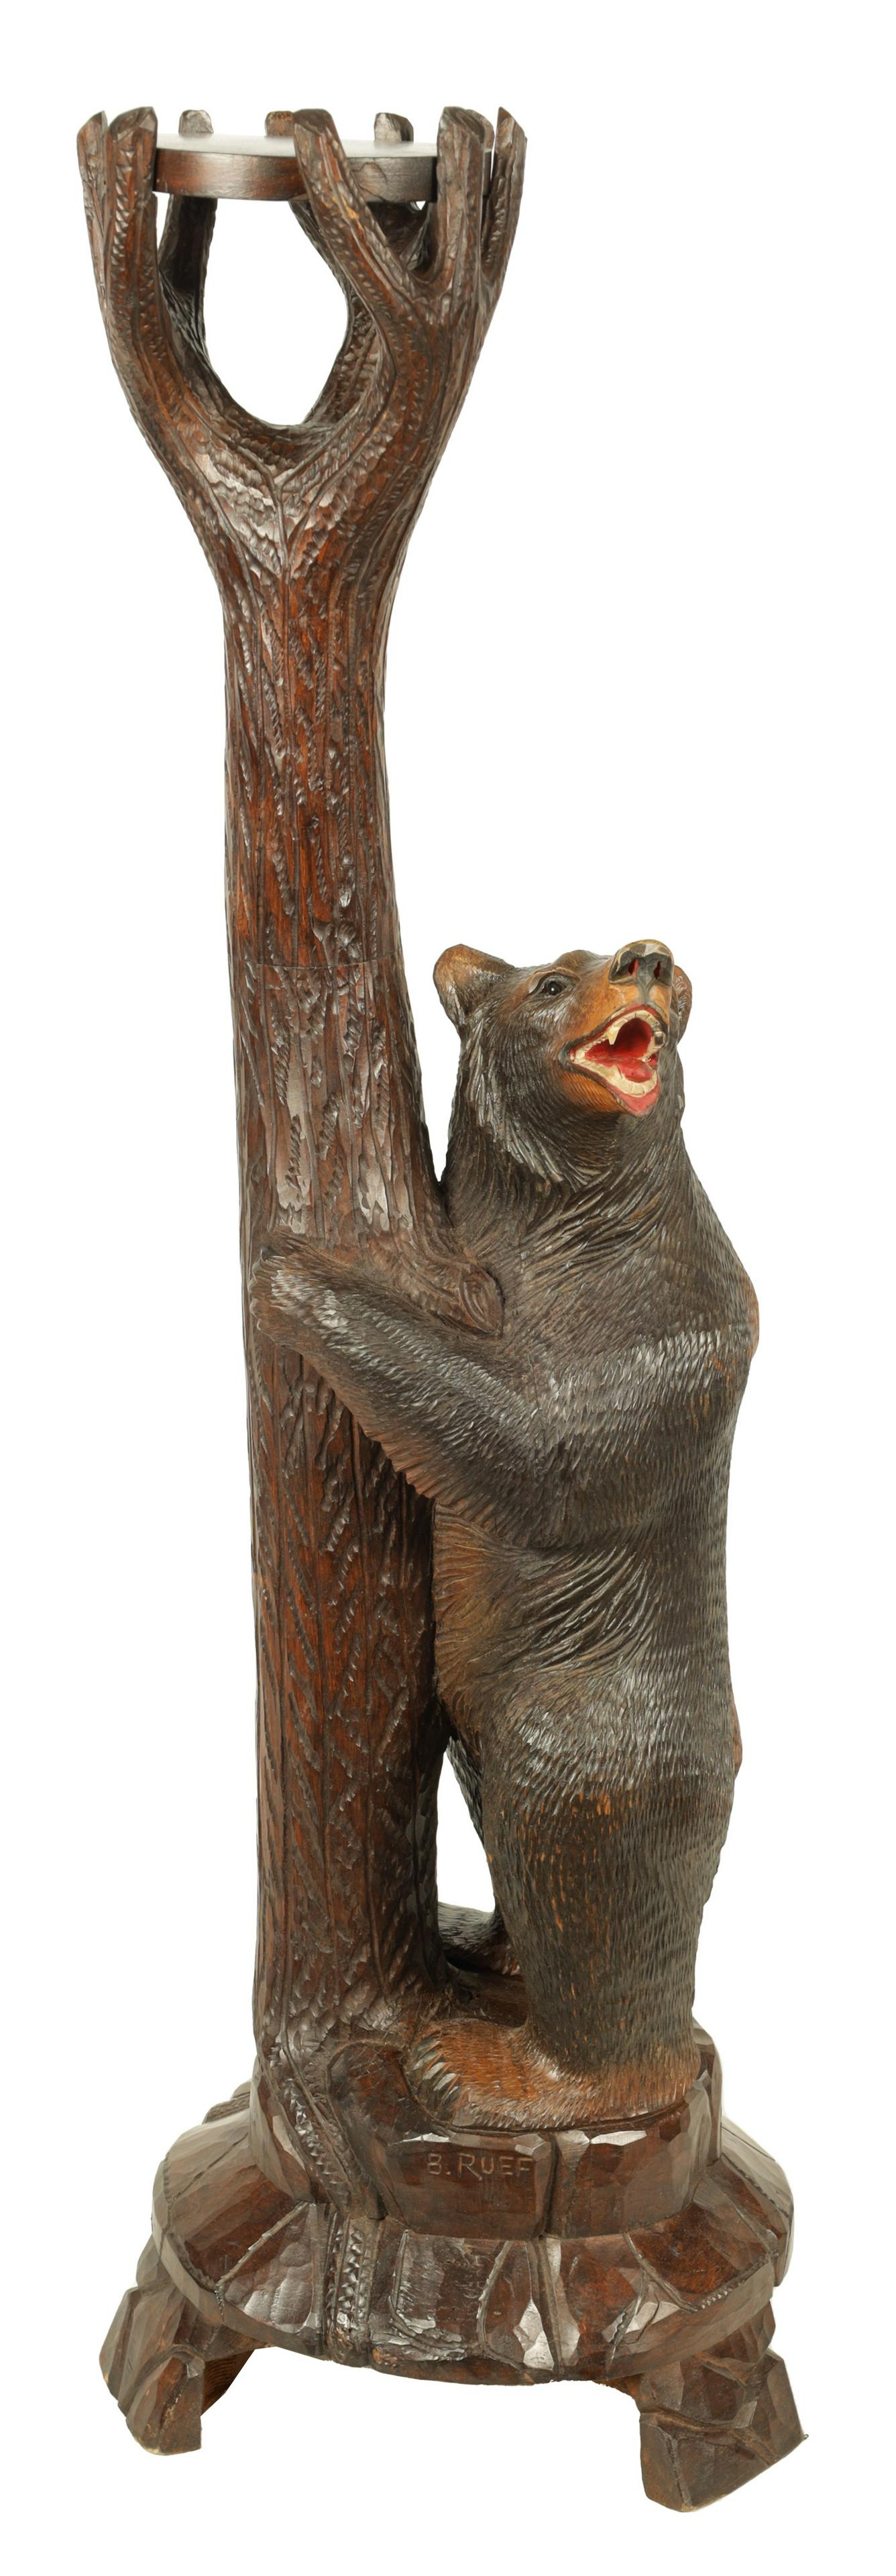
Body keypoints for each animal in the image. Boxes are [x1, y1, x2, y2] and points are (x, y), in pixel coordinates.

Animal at [250, 937, 757, 2129]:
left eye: (624, 971)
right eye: (554, 981)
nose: (649, 960)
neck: (565, 1218)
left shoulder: (666, 1330)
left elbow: (533, 1451)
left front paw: (297, 1279)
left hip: (597, 1729)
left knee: (584, 1854)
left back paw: (499, 2070)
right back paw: (484, 1944)